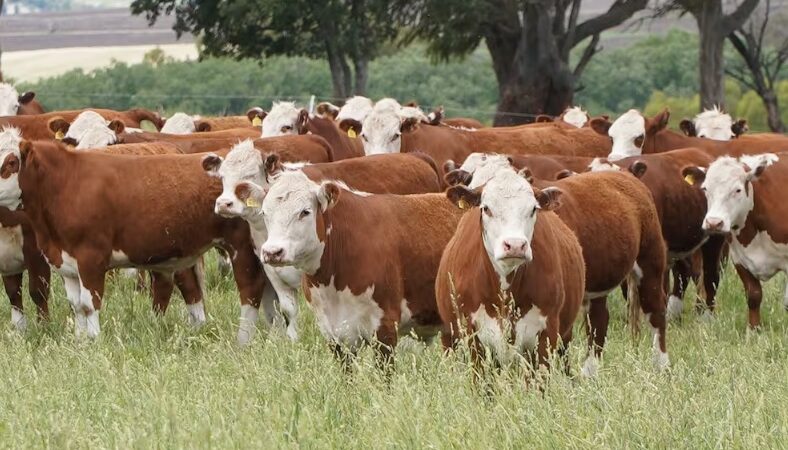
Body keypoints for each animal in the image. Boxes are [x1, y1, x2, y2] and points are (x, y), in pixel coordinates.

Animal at [0, 139, 266, 341]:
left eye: (11, 162)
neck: (65, 184)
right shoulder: (65, 262)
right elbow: (75, 305)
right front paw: (79, 339)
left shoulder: (91, 258)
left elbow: (89, 304)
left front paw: (94, 339)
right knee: (191, 288)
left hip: (241, 246)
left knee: (249, 289)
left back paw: (244, 337)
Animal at [201, 141, 443, 342]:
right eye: (222, 177)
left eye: (251, 174)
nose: (224, 203)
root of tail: (417, 156)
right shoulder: (273, 271)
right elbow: (288, 309)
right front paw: (292, 341)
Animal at [436, 168, 586, 376]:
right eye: (486, 208)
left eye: (533, 209)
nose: (515, 245)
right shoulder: (472, 335)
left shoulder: (547, 335)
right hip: (450, 337)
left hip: (565, 337)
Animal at [683, 153, 788, 329]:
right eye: (705, 189)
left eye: (737, 190)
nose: (713, 222)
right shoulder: (740, 259)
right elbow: (753, 296)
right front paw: (753, 330)